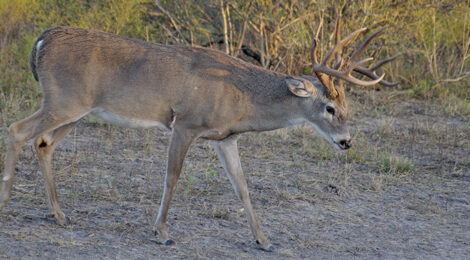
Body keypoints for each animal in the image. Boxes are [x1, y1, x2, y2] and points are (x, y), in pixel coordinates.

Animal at [0, 17, 396, 251]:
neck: (242, 97)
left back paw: (60, 216)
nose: (346, 141)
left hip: (78, 110)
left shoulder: (227, 138)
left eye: (347, 107)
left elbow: (242, 187)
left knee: (42, 142)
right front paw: (162, 232)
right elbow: (172, 176)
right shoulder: (186, 123)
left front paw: (263, 240)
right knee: (17, 129)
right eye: (330, 108)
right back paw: (6, 204)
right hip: (64, 100)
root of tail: (41, 41)